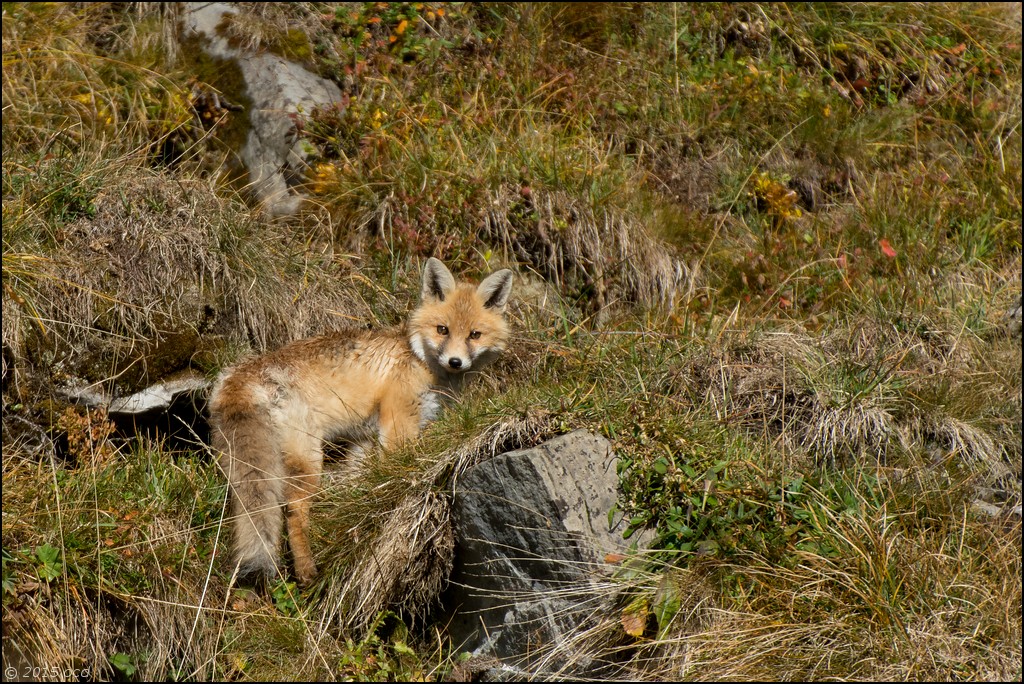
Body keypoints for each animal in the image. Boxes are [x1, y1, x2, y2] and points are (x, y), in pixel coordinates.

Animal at [209, 259, 512, 585]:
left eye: (474, 335)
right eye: (442, 330)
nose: (455, 362)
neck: (419, 360)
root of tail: (240, 375)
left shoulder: (365, 440)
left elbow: (360, 481)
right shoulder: (398, 421)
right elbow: (401, 467)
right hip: (308, 460)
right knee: (293, 510)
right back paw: (306, 572)